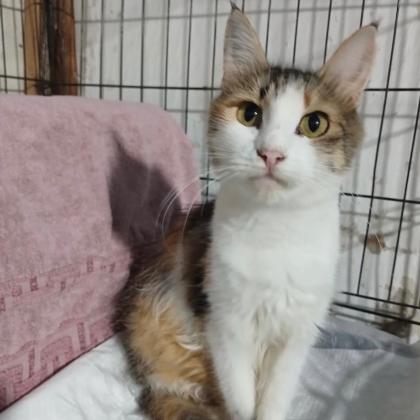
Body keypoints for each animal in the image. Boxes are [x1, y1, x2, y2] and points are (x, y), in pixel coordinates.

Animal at [117, 5, 376, 420]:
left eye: (314, 123)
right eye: (249, 114)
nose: (270, 153)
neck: (275, 231)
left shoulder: (296, 333)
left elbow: (272, 402)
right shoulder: (224, 324)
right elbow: (241, 402)